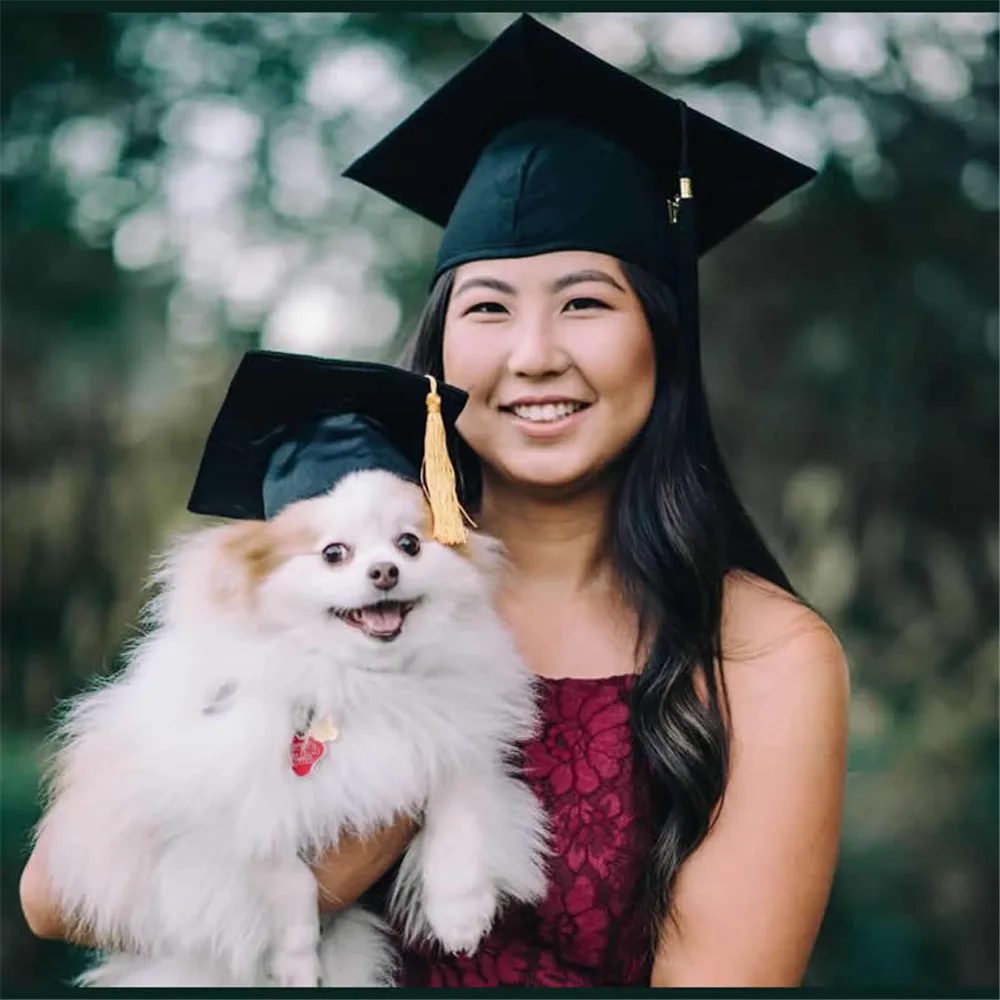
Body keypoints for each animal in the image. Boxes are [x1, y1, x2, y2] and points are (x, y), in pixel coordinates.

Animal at [39, 468, 552, 984]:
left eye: (408, 544)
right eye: (333, 554)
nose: (385, 571)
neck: (361, 682)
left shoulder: (455, 736)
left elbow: (458, 813)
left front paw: (459, 915)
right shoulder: (228, 805)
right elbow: (284, 875)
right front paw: (296, 962)